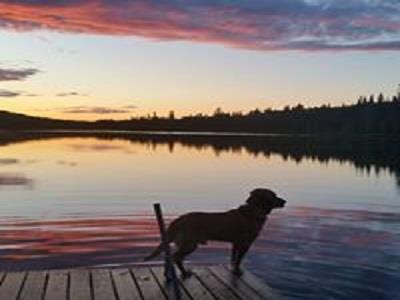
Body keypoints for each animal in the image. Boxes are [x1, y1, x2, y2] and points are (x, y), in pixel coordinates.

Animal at [143, 189, 284, 278]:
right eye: (273, 195)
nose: (284, 201)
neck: (252, 213)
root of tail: (179, 219)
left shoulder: (236, 243)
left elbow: (233, 258)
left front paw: (232, 269)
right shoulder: (245, 244)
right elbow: (239, 260)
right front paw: (237, 271)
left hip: (184, 244)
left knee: (169, 257)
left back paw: (168, 275)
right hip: (189, 245)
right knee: (175, 257)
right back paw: (184, 273)